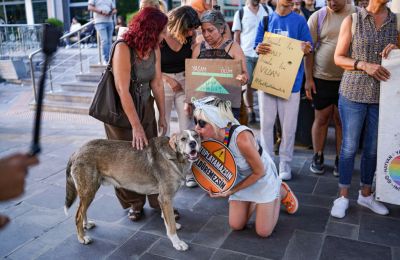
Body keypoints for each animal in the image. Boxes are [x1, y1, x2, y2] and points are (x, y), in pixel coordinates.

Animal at [65, 131, 200, 251]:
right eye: (183, 139)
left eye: (196, 136)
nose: (193, 143)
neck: (174, 156)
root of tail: (77, 151)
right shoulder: (165, 198)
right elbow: (170, 224)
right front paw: (177, 242)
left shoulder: (163, 199)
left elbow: (168, 219)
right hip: (89, 191)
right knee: (78, 215)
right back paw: (82, 238)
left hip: (88, 191)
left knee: (81, 209)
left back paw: (86, 225)